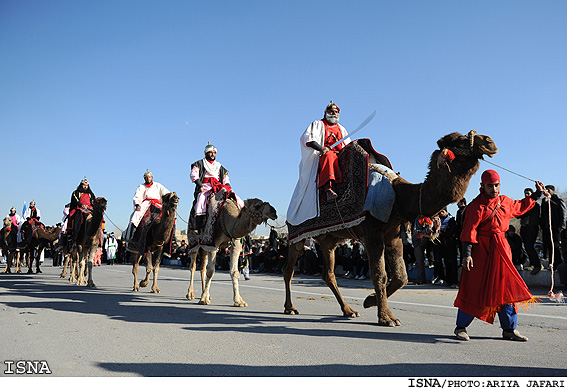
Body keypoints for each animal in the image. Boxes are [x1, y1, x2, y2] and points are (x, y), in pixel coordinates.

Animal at [284, 131, 496, 326]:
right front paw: (387, 317)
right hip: (297, 235)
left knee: (328, 274)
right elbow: (380, 274)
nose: (489, 142)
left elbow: (401, 277)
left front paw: (369, 301)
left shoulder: (393, 235)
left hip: (329, 239)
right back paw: (290, 307)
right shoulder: (372, 232)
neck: (399, 197)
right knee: (289, 269)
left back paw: (349, 310)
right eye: (460, 140)